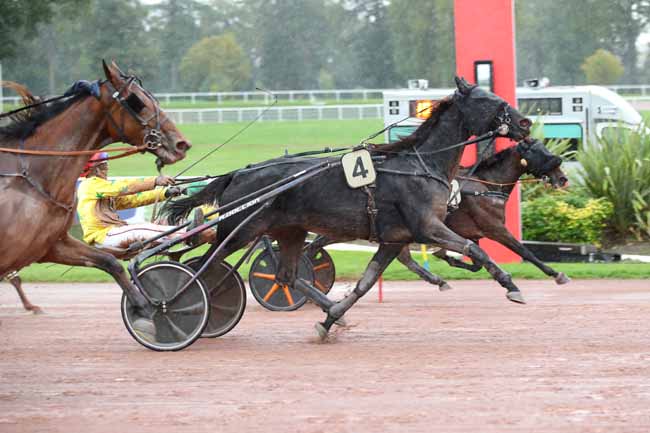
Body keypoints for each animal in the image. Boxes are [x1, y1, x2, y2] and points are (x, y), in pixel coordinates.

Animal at [1, 60, 190, 314]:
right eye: (137, 102)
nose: (181, 144)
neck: (31, 175)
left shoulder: (50, 245)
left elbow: (109, 261)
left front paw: (143, 305)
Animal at [166, 77, 532, 338]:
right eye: (489, 100)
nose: (526, 123)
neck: (419, 165)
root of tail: (238, 173)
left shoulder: (394, 239)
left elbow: (365, 283)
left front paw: (331, 320)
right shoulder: (427, 227)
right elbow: (475, 248)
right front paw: (512, 287)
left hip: (289, 231)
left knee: (286, 275)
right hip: (240, 230)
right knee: (202, 265)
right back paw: (176, 302)